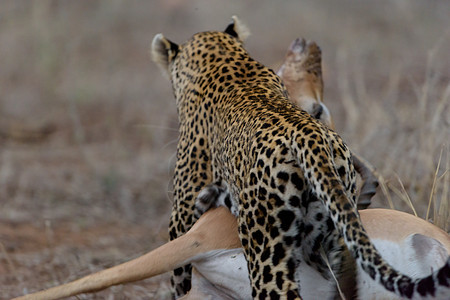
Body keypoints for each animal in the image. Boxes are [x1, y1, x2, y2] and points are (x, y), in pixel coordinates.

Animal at [153, 17, 448, 300]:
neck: (222, 56)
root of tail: (311, 136)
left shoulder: (183, 209)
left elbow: (180, 273)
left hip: (265, 243)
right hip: (328, 232)